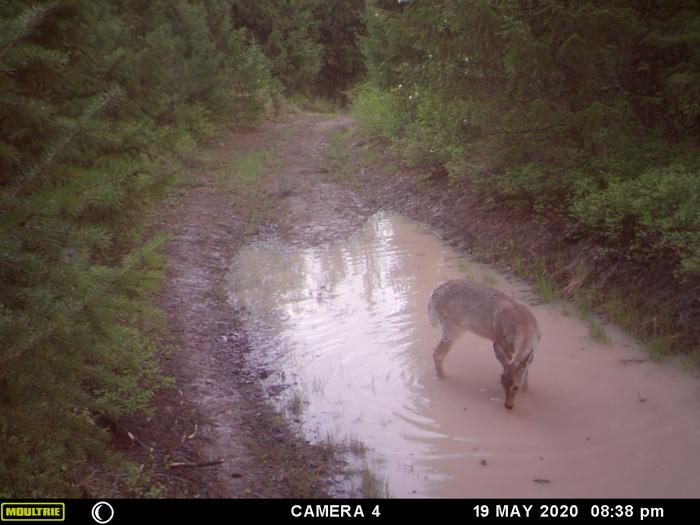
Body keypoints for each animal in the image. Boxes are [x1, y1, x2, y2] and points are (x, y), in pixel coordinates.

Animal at [426, 278, 540, 410]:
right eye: (502, 383)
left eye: (516, 386)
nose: (508, 406)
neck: (525, 326)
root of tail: (432, 296)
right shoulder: (503, 342)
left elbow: (526, 369)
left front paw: (525, 391)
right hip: (453, 327)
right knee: (438, 353)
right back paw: (444, 380)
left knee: (434, 348)